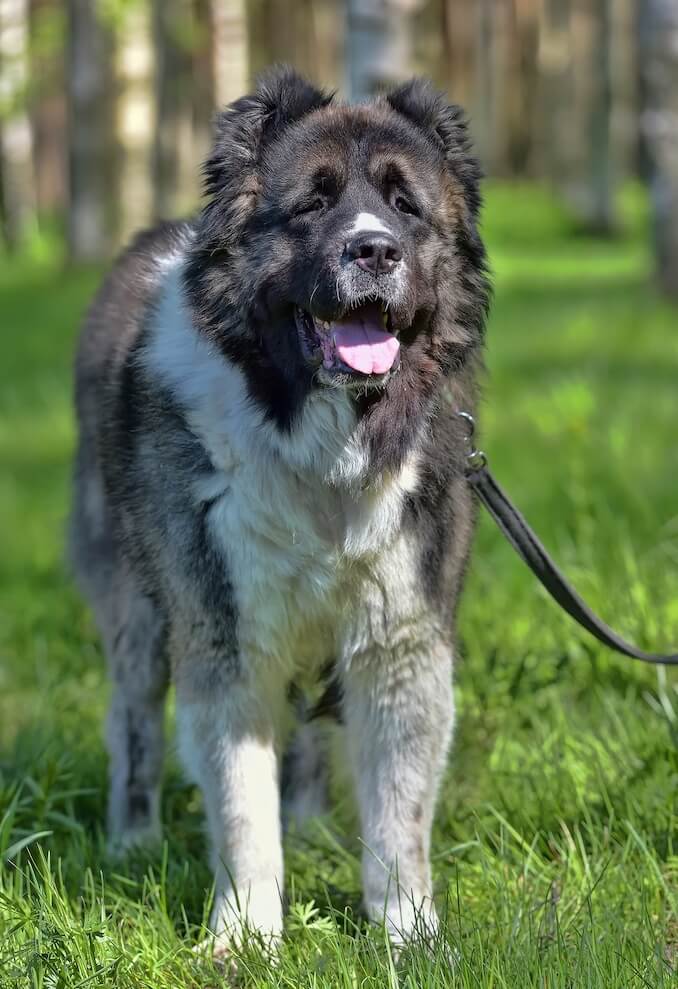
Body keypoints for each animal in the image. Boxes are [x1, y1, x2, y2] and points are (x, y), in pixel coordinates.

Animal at [70, 67, 488, 948]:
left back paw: (313, 825)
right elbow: (239, 797)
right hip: (136, 608)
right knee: (134, 719)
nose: (375, 250)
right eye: (312, 203)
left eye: (405, 206)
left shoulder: (401, 632)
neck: (319, 439)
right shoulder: (220, 630)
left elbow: (400, 804)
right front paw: (245, 935)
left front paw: (406, 930)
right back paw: (132, 838)